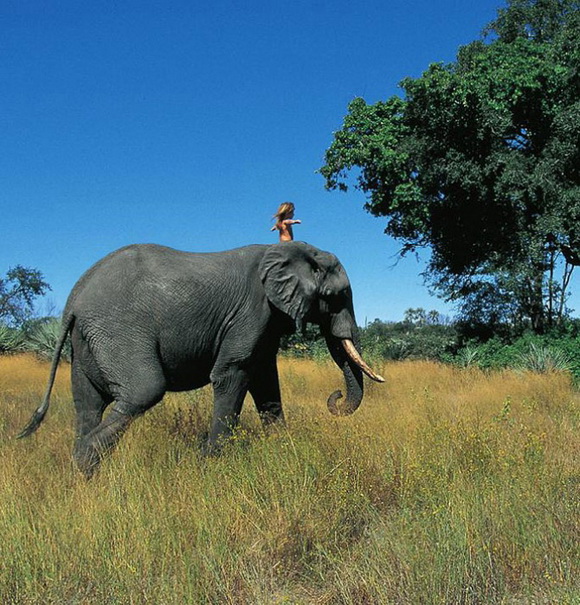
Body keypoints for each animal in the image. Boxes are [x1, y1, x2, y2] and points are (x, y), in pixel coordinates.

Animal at [18, 242, 382, 476]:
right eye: (337, 296)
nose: (335, 397)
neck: (294, 250)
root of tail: (75, 297)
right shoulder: (251, 311)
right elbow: (233, 373)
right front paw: (210, 462)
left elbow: (265, 380)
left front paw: (282, 449)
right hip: (116, 329)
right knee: (143, 391)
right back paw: (85, 462)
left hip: (86, 342)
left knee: (88, 403)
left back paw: (80, 472)